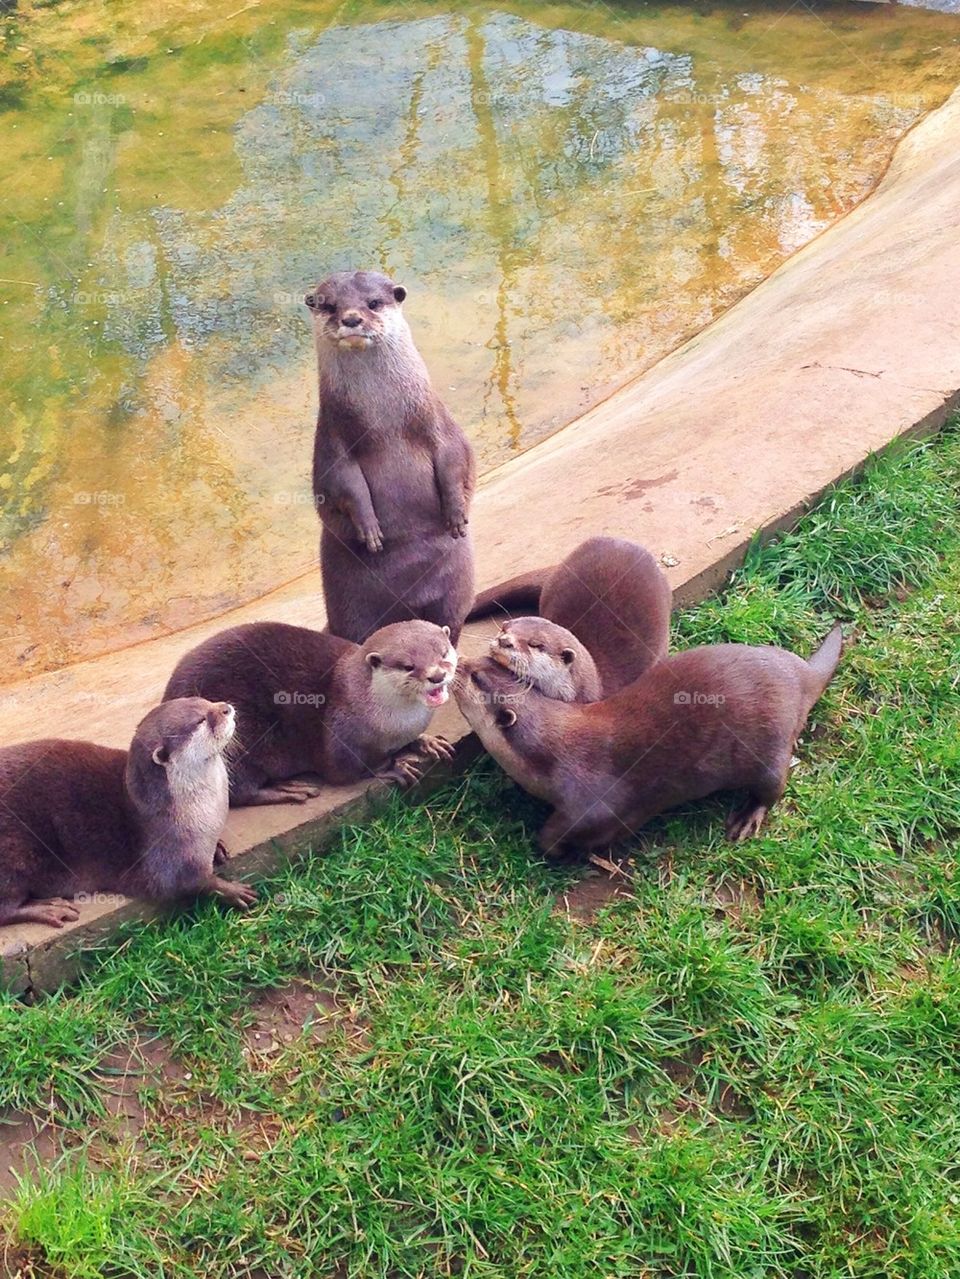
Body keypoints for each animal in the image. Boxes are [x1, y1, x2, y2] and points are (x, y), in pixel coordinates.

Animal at [0, 698, 256, 932]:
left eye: (204, 701)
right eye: (201, 720)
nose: (226, 708)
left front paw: (218, 848)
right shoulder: (164, 849)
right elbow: (187, 882)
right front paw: (232, 890)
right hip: (14, 855)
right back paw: (49, 908)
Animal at [163, 619, 457, 805]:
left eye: (444, 653)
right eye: (408, 666)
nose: (437, 676)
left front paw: (427, 742)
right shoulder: (339, 742)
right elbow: (348, 770)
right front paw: (396, 765)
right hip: (236, 740)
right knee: (239, 792)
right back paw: (287, 790)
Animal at [307, 269, 475, 644]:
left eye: (373, 302)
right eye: (329, 305)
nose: (351, 318)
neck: (384, 420)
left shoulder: (439, 423)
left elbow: (455, 457)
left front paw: (456, 514)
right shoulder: (333, 440)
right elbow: (342, 484)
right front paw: (369, 529)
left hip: (456, 593)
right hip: (353, 614)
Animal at [455, 626, 842, 858]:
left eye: (475, 677)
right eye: (485, 663)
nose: (456, 663)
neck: (552, 752)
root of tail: (798, 674)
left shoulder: (596, 803)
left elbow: (562, 835)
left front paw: (556, 848)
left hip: (771, 746)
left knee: (773, 786)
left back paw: (747, 817)